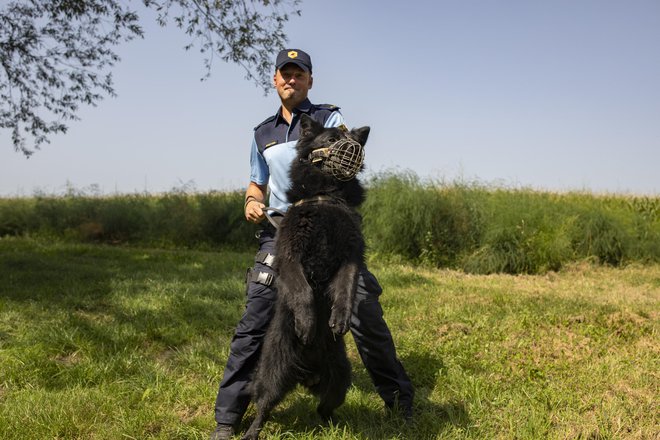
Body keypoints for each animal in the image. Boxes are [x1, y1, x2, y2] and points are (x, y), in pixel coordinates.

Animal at [242, 114, 374, 440]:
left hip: (340, 379)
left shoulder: (350, 257)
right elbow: (302, 292)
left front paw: (339, 319)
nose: (354, 148)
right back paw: (251, 432)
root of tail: (306, 374)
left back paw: (334, 426)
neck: (326, 197)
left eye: (351, 139)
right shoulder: (291, 256)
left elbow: (346, 290)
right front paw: (307, 323)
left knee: (324, 408)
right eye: (330, 139)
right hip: (272, 373)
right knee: (263, 406)